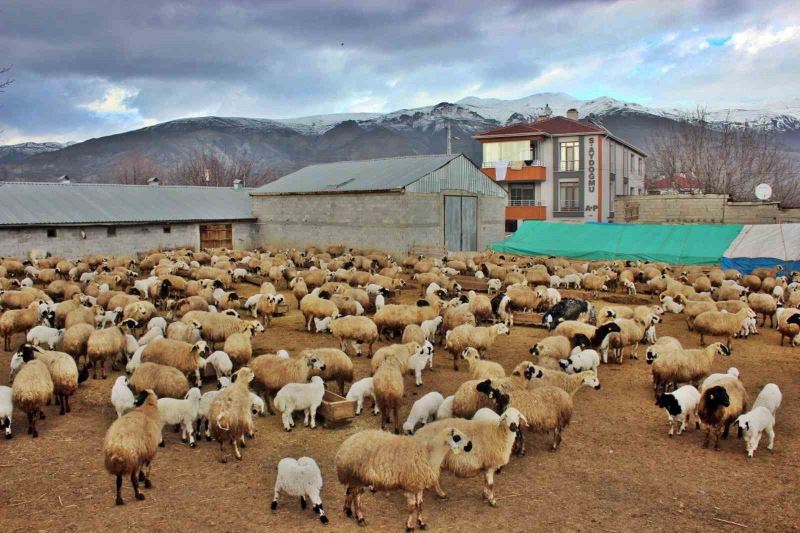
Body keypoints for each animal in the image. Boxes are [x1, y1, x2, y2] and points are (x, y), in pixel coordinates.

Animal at [336, 424, 472, 528]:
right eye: (457, 437)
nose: (470, 445)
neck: (429, 454)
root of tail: (345, 445)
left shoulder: (418, 485)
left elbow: (420, 505)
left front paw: (421, 523)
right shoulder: (410, 484)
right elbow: (412, 507)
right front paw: (409, 526)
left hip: (355, 476)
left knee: (350, 491)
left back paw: (348, 510)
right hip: (357, 475)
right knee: (356, 496)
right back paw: (360, 518)